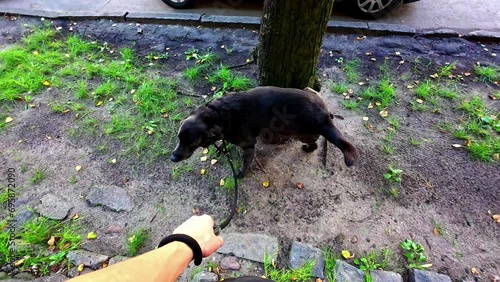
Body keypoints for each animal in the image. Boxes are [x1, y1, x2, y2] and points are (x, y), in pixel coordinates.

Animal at [172, 87, 360, 177]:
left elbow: (246, 163)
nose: (172, 158)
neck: (216, 115)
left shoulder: (248, 146)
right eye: (178, 138)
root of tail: (324, 116)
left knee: (314, 143)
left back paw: (308, 148)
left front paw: (242, 174)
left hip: (301, 134)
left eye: (191, 144)